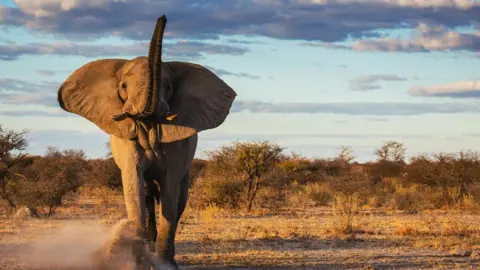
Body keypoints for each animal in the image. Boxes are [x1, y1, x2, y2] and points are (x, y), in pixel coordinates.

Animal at [55, 14, 238, 268]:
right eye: (123, 87)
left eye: (168, 86)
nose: (163, 17)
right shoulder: (127, 141)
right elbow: (134, 186)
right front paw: (136, 260)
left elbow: (170, 194)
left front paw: (164, 264)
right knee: (149, 195)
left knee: (179, 200)